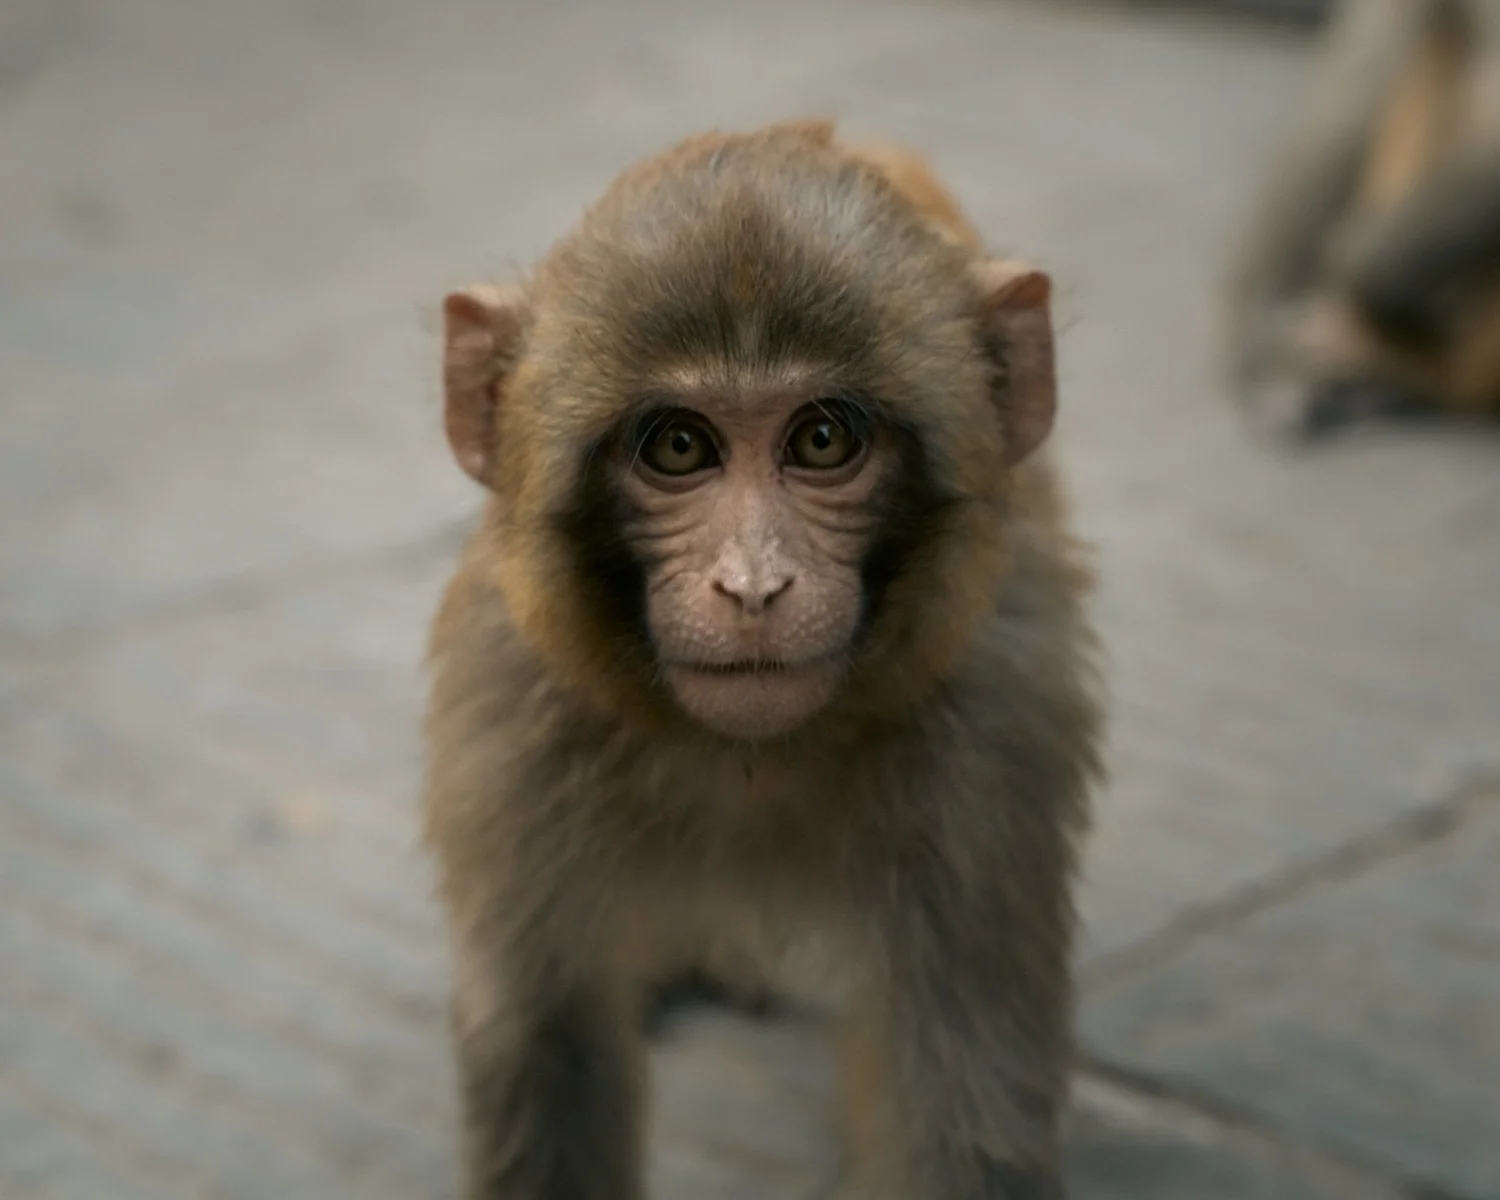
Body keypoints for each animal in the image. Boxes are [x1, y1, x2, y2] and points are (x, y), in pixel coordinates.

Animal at [422, 119, 1104, 1200]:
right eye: (678, 447)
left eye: (822, 439)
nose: (751, 587)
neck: (747, 758)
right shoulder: (513, 726)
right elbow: (546, 1045)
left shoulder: (994, 745)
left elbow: (963, 1081)